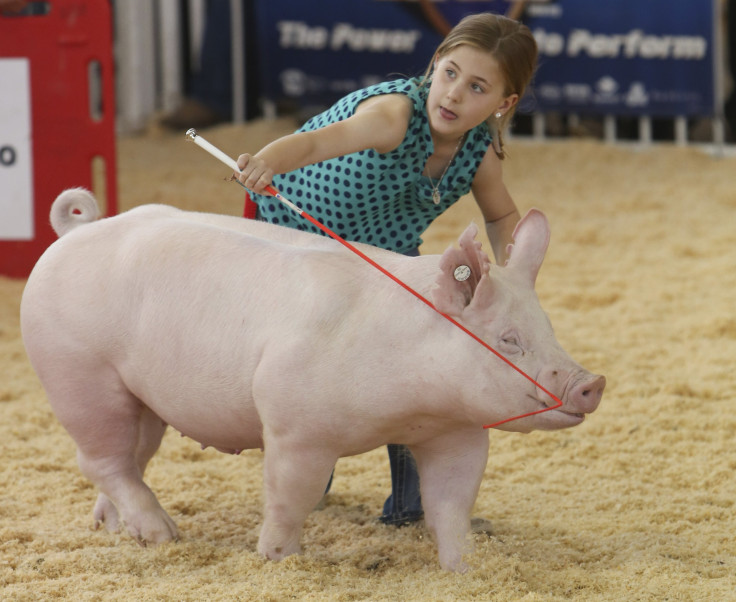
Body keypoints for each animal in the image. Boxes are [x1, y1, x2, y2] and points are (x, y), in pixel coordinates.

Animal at [20, 189, 604, 572]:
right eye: (508, 339)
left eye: (547, 326)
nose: (590, 382)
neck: (414, 403)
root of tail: (77, 230)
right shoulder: (295, 427)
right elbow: (290, 497)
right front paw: (278, 560)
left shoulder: (456, 432)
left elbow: (451, 505)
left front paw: (467, 567)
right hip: (79, 374)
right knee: (99, 460)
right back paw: (164, 536)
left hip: (140, 397)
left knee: (129, 460)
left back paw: (116, 529)